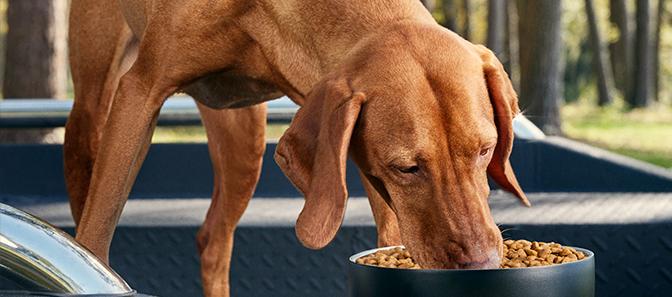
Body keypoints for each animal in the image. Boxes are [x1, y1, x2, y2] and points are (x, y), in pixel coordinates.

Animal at [68, 1, 532, 294]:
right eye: (406, 168)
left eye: (485, 150)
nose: (482, 265)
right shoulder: (141, 91)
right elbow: (95, 240)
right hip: (93, 109)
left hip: (244, 141)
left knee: (213, 240)